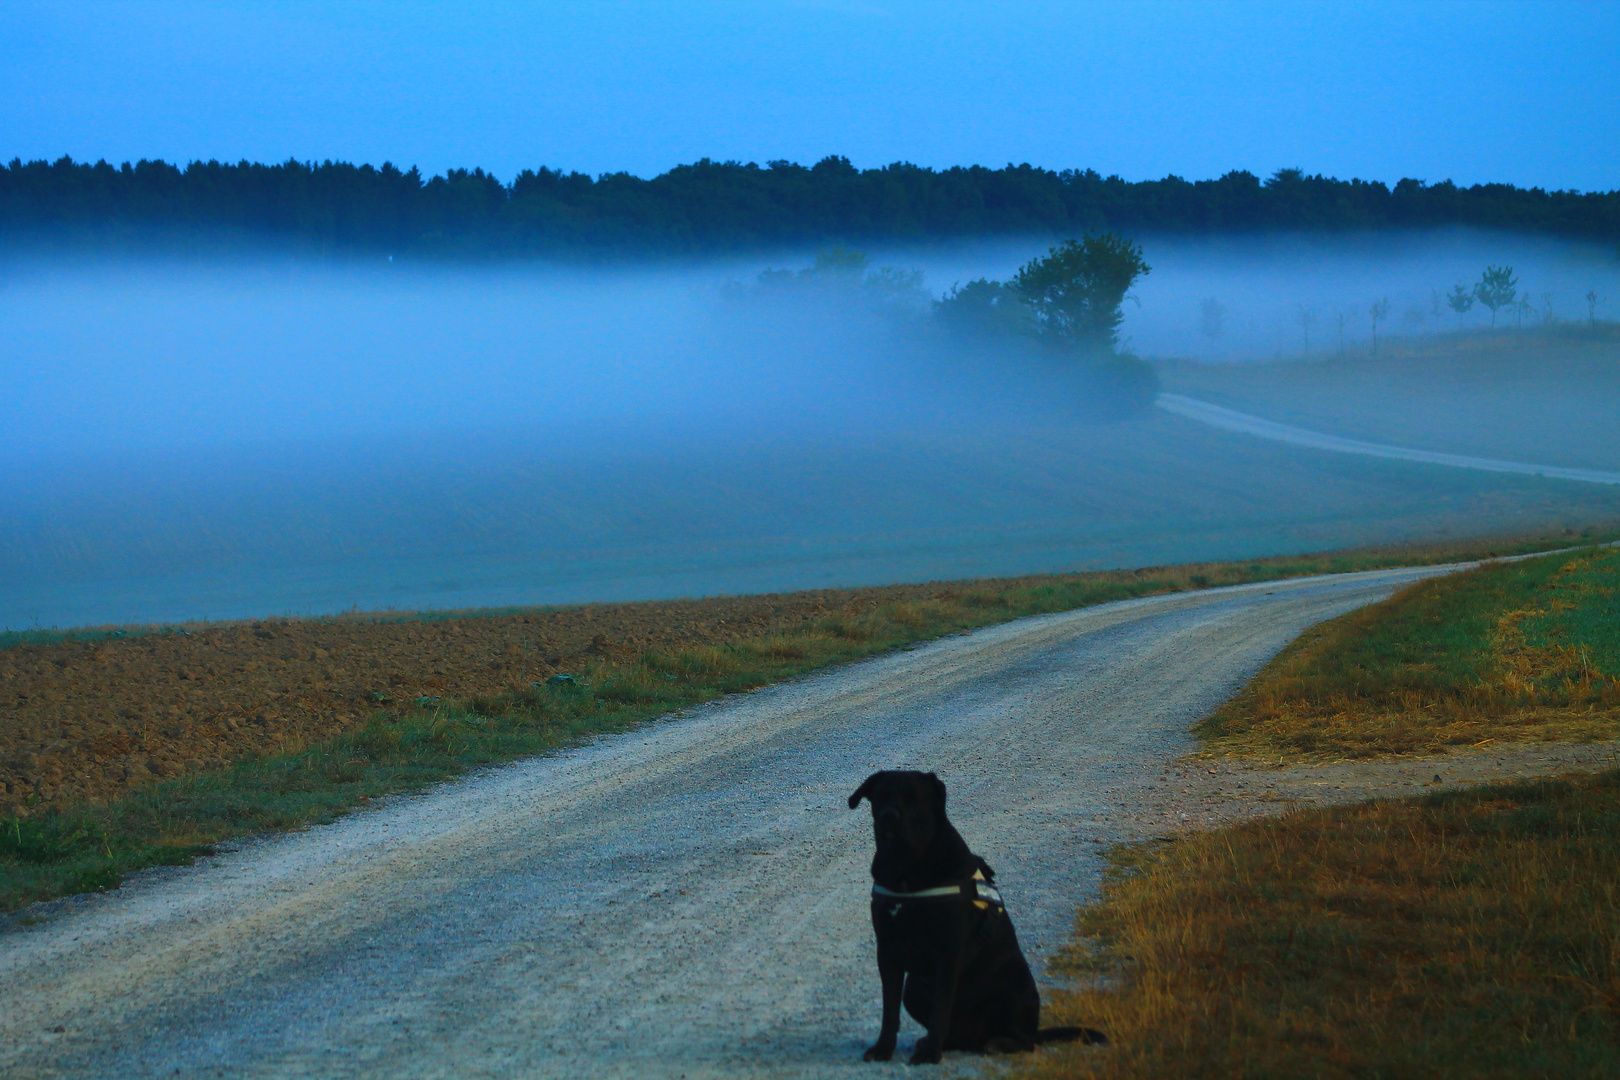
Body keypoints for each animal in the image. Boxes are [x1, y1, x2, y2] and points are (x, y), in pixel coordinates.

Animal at [848, 773, 1101, 1068]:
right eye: (881, 797)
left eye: (913, 798)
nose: (888, 816)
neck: (906, 867)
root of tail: (975, 1038)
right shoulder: (888, 950)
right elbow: (890, 1009)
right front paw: (883, 1049)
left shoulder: (948, 953)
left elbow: (941, 1009)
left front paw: (930, 1055)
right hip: (914, 988)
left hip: (1012, 984)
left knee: (1025, 1041)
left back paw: (997, 1042)